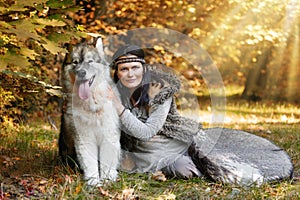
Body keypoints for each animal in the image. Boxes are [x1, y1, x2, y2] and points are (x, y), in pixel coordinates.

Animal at [64, 38, 119, 186]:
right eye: (75, 62)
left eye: (90, 61)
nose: (82, 72)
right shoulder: (84, 137)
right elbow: (90, 162)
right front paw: (94, 182)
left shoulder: (109, 135)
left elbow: (107, 161)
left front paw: (107, 180)